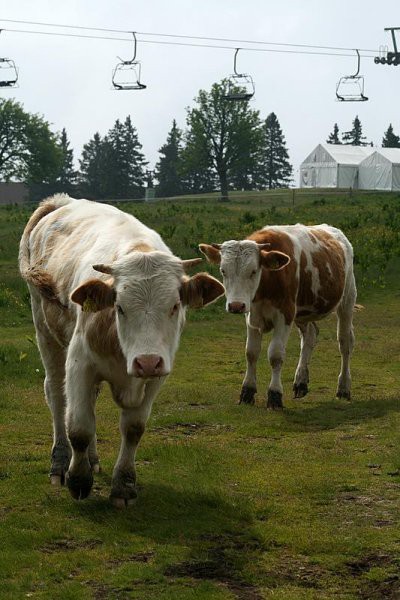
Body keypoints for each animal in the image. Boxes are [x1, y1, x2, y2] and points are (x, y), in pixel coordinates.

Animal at [19, 197, 225, 506]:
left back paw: (92, 459)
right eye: (119, 307)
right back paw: (60, 462)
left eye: (175, 306)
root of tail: (63, 200)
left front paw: (124, 485)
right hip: (44, 329)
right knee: (56, 395)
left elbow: (133, 429)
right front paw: (79, 480)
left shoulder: (157, 375)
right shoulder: (79, 363)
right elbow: (79, 427)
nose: (147, 362)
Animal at [200, 223, 356, 410]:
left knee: (345, 343)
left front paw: (275, 395)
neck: (266, 285)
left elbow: (275, 355)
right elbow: (251, 352)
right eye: (223, 271)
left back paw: (343, 388)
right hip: (302, 312)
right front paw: (247, 391)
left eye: (253, 271)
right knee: (310, 337)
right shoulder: (252, 316)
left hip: (347, 299)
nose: (236, 305)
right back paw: (301, 381)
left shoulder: (285, 314)